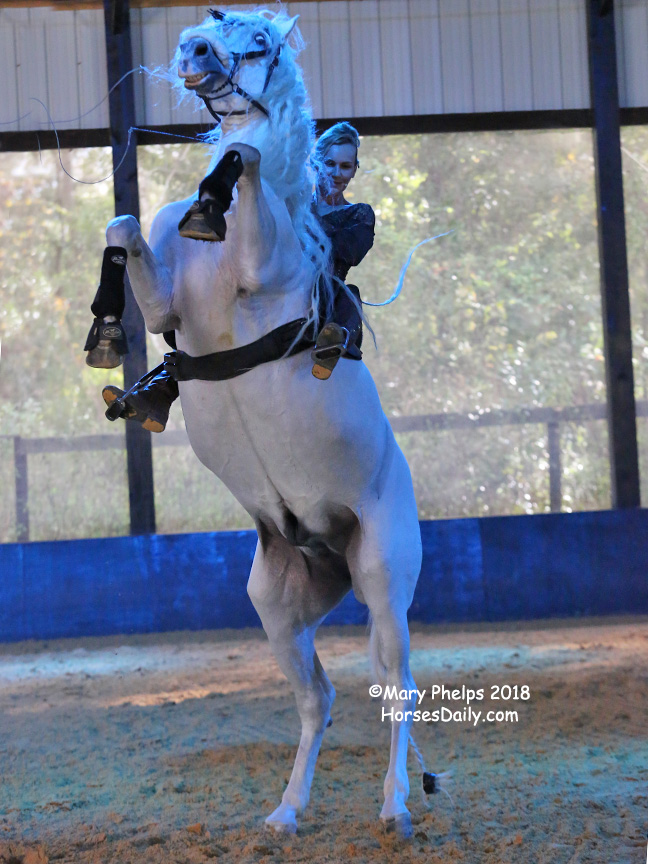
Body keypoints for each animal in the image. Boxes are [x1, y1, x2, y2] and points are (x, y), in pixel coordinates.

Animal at [105, 7, 423, 838]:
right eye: (208, 27)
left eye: (259, 43)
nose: (195, 53)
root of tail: (328, 551)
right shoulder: (165, 304)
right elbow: (124, 228)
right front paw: (107, 332)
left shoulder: (262, 266)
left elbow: (246, 153)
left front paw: (219, 194)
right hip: (279, 608)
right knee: (320, 698)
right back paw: (286, 811)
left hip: (385, 579)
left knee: (396, 685)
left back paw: (395, 805)